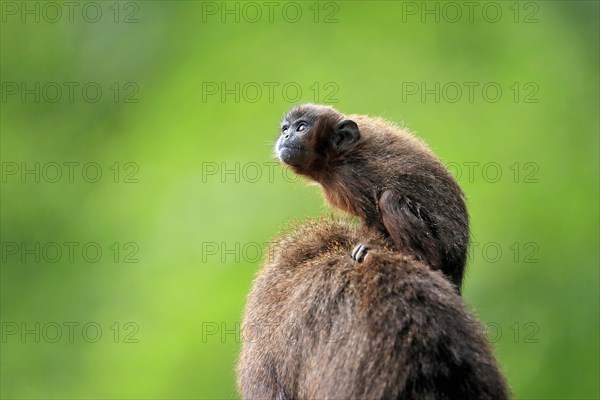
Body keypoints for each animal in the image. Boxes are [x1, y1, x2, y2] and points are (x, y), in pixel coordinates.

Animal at [276, 103, 468, 290]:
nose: (285, 136)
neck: (337, 157)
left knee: (389, 199)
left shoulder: (350, 177)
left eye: (301, 127)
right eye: (285, 128)